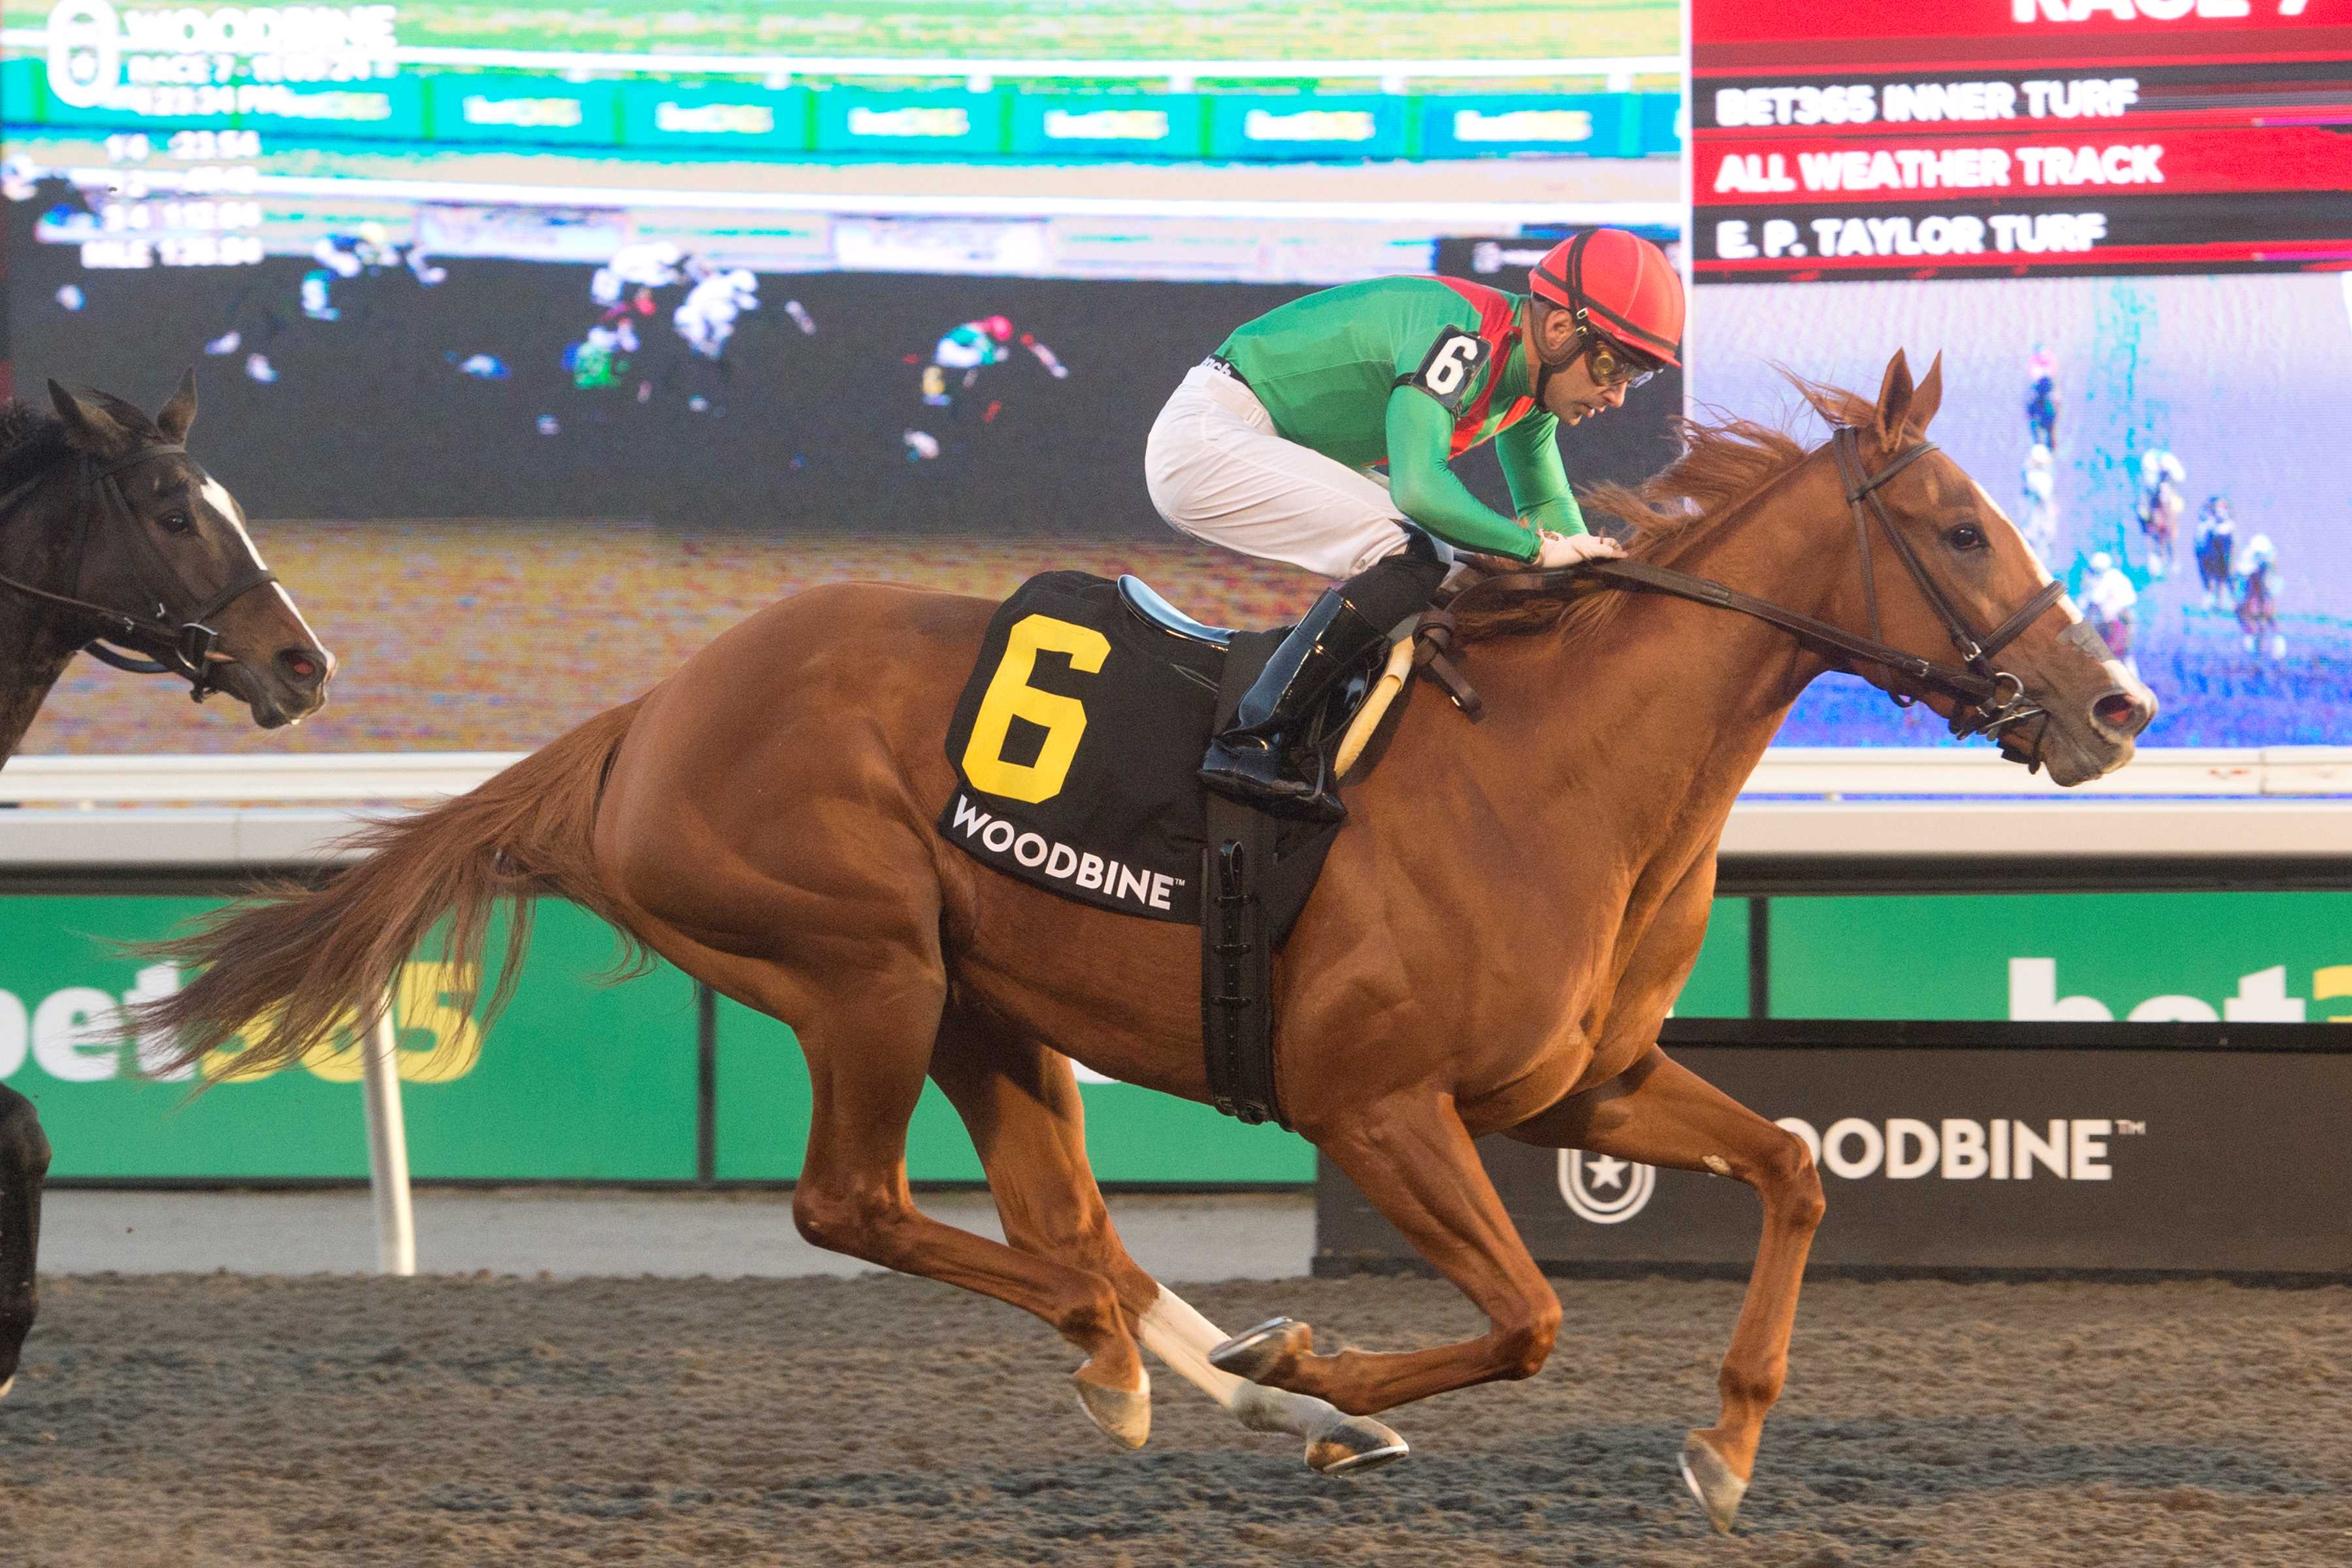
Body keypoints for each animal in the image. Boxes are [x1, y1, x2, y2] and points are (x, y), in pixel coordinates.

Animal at [133, 352, 2154, 1533]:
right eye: (1960, 528)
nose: (2114, 705)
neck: (1559, 764)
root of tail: (645, 716)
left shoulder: (1585, 1087)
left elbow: (1799, 1169)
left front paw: (1723, 1441)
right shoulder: (1372, 1103)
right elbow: (1528, 1315)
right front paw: (1323, 1376)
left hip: (989, 1003)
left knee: (1063, 1220)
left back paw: (1178, 1367)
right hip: (863, 967)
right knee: (864, 1207)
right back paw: (1164, 1360)